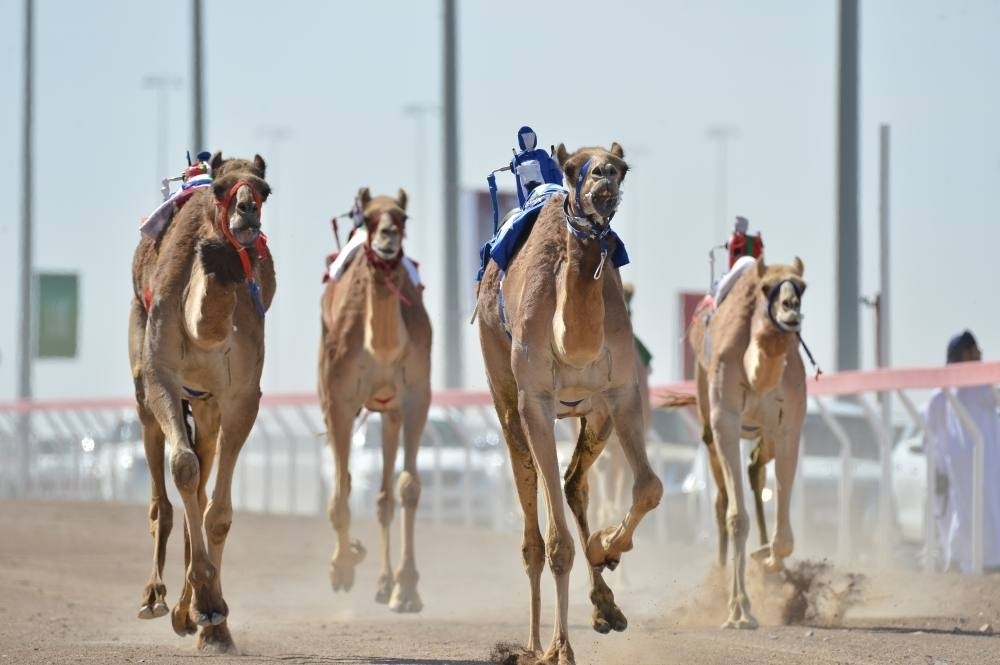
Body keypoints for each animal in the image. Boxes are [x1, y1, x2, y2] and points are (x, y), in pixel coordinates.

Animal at [129, 151, 274, 652]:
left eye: (264, 189)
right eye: (222, 189)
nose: (246, 212)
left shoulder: (242, 397)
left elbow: (219, 513)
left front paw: (212, 617)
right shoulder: (161, 379)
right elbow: (183, 469)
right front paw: (204, 605)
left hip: (208, 408)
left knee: (204, 479)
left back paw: (191, 613)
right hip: (144, 388)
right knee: (164, 490)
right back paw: (155, 599)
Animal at [318, 187, 431, 613]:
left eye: (403, 216)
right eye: (367, 218)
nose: (387, 238)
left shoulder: (416, 398)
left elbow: (408, 487)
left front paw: (408, 589)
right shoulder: (338, 400)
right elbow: (340, 491)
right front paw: (341, 568)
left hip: (389, 411)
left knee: (384, 497)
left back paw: (385, 584)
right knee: (349, 483)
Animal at [477, 142, 663, 665]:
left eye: (621, 168)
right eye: (577, 167)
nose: (603, 178)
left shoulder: (622, 393)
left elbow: (650, 488)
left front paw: (606, 547)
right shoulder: (535, 402)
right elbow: (557, 543)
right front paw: (560, 650)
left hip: (593, 417)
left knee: (574, 482)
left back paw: (606, 605)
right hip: (506, 399)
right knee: (532, 517)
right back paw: (534, 643)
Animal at [663, 256, 807, 629]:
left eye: (802, 286)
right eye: (767, 288)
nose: (791, 309)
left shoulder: (789, 427)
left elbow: (785, 537)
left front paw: (768, 561)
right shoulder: (724, 421)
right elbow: (736, 517)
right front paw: (740, 610)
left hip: (764, 432)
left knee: (755, 467)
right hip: (708, 422)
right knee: (721, 500)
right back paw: (720, 577)